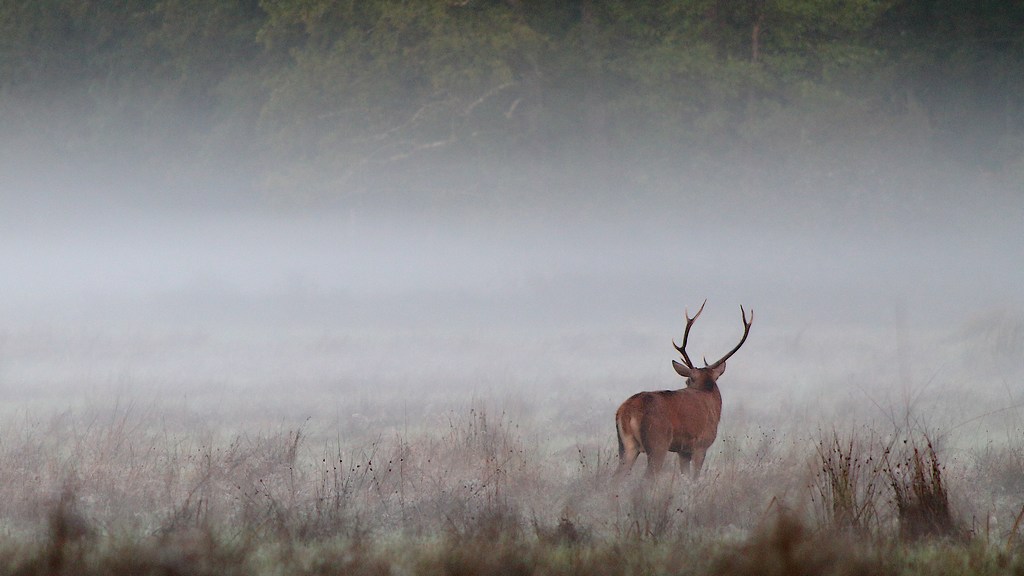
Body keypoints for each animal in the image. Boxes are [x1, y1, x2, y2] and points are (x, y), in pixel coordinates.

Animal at [613, 300, 753, 481]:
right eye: (687, 380)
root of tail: (627, 410)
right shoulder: (701, 444)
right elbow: (694, 478)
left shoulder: (683, 451)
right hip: (657, 441)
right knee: (647, 478)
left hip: (626, 446)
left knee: (616, 478)